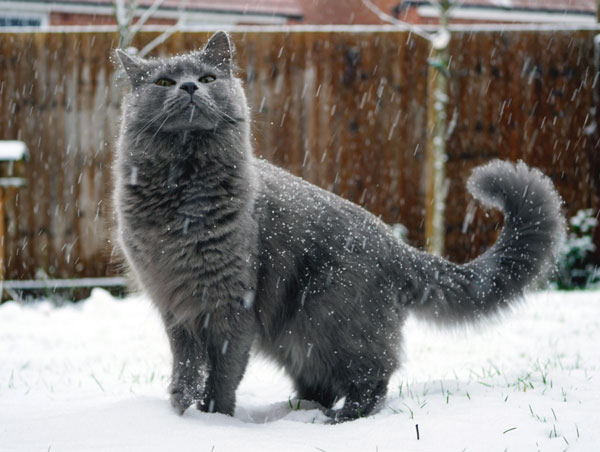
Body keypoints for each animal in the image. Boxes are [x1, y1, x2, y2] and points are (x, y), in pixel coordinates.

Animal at [115, 32, 564, 424]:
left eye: (208, 78)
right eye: (164, 81)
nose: (190, 86)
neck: (184, 197)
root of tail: (398, 247)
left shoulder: (232, 306)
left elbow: (223, 374)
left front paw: (214, 421)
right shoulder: (176, 308)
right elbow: (187, 367)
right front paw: (182, 408)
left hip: (330, 320)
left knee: (373, 377)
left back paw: (336, 419)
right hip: (296, 335)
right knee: (322, 382)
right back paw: (293, 412)